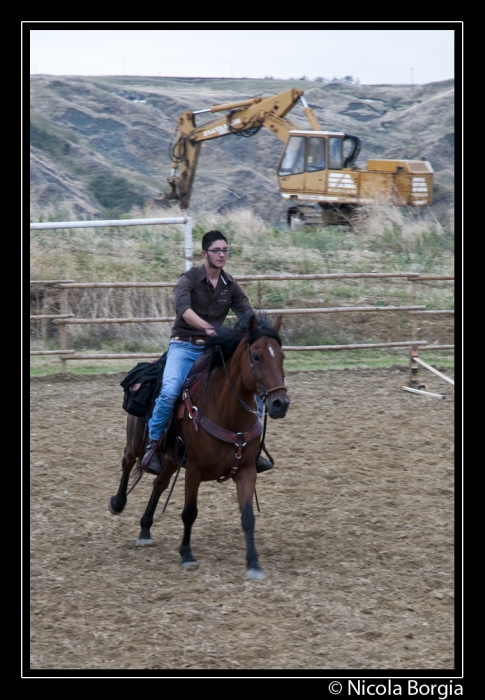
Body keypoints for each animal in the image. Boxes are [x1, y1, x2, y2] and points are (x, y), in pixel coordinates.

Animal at [109, 312, 290, 580]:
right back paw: (118, 503)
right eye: (256, 356)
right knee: (127, 462)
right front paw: (186, 554)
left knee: (158, 484)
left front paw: (254, 563)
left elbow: (247, 517)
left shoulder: (247, 470)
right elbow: (189, 512)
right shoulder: (194, 470)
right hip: (137, 442)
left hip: (171, 459)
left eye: (281, 356)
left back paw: (145, 529)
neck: (226, 414)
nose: (280, 403)